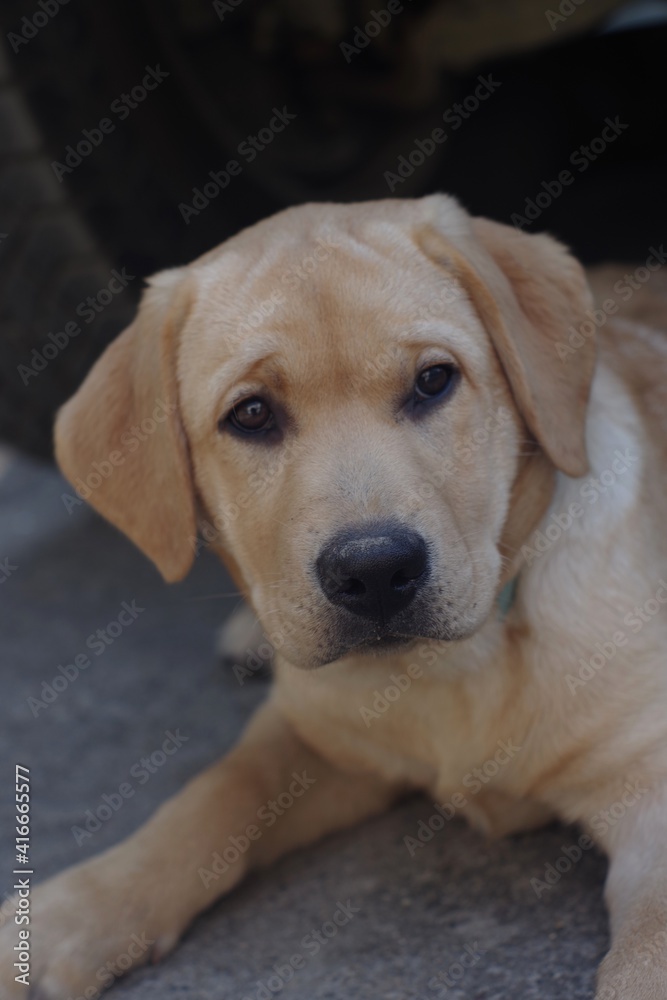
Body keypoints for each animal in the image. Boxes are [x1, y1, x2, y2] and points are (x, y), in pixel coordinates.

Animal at [2, 191, 664, 996]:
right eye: (252, 414)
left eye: (433, 381)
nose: (375, 571)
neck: (445, 673)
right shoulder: (312, 734)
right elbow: (218, 792)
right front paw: (68, 914)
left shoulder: (651, 793)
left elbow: (645, 958)